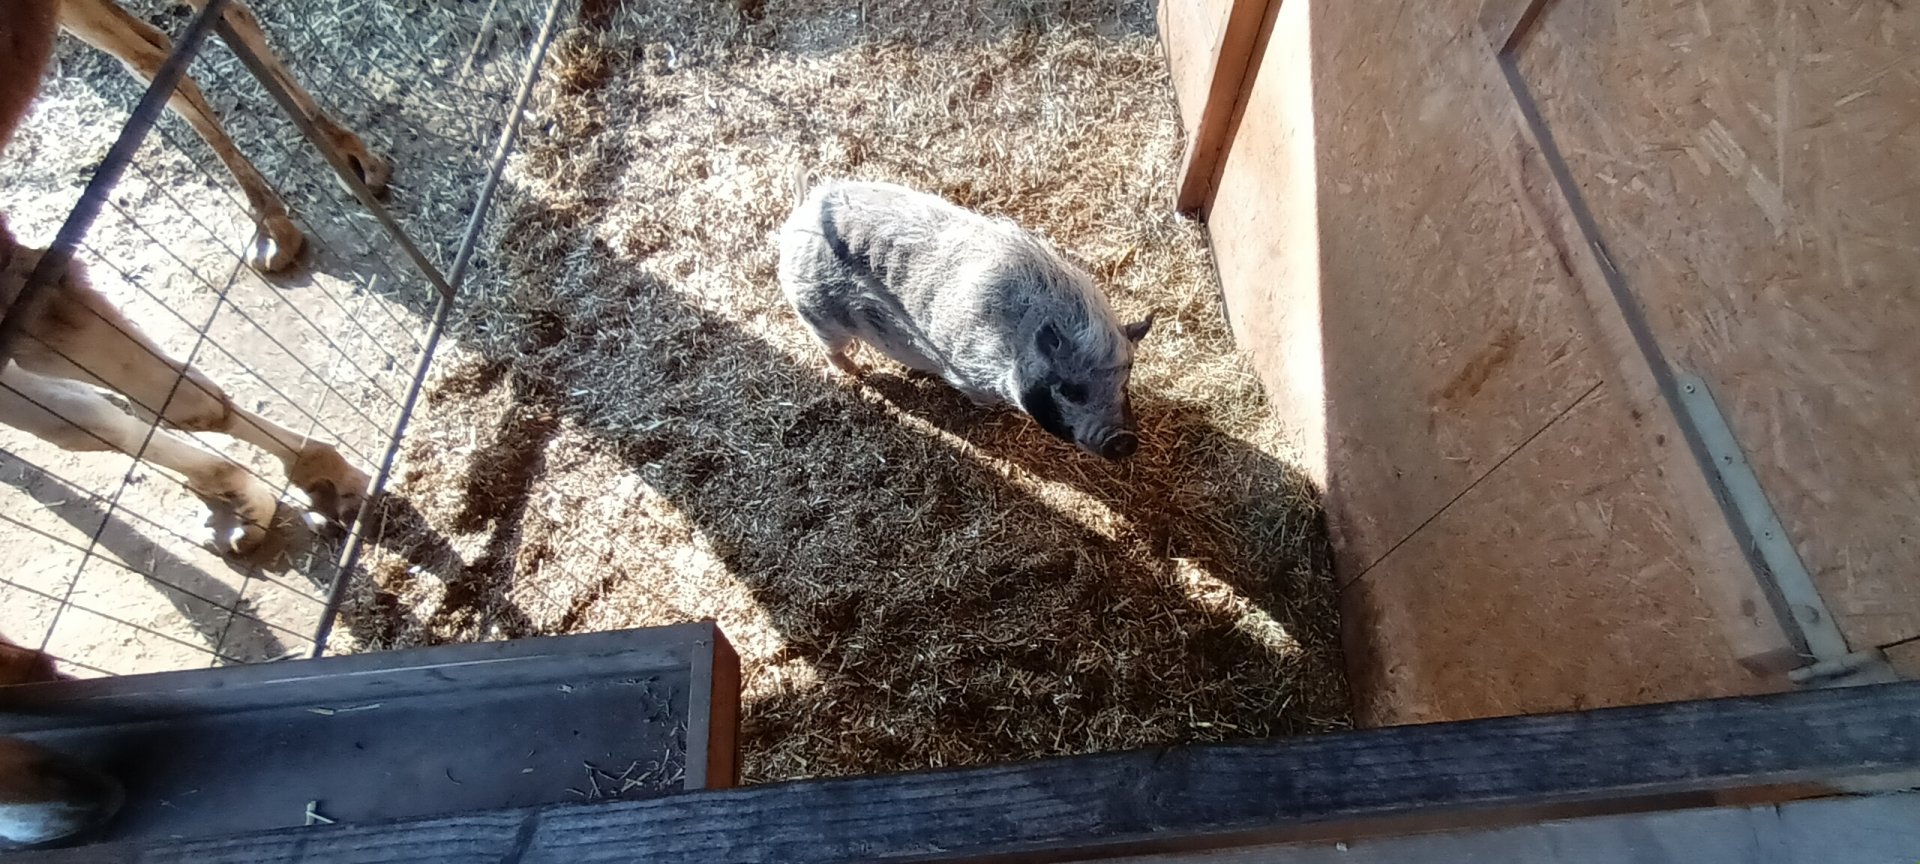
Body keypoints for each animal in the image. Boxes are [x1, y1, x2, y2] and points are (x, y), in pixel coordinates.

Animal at [776, 177, 1154, 459]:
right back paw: (859, 371)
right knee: (830, 349)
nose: (1124, 439)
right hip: (815, 311)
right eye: (1070, 390)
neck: (1011, 346)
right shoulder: (967, 369)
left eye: (1125, 381)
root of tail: (801, 212)